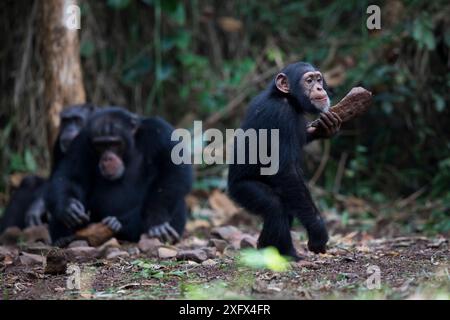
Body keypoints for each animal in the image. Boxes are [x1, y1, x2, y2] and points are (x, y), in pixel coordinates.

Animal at [46, 107, 192, 245]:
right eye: (100, 145)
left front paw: (156, 220)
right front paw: (69, 207)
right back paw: (63, 238)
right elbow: (70, 175)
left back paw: (119, 224)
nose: (107, 158)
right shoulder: (82, 140)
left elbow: (172, 168)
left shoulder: (159, 130)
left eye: (114, 143)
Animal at [227, 62, 342, 260]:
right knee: (274, 206)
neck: (289, 99)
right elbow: (285, 170)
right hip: (241, 189)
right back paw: (287, 254)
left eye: (318, 79)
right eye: (309, 81)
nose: (319, 88)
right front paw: (318, 231)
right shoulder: (280, 115)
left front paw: (327, 127)